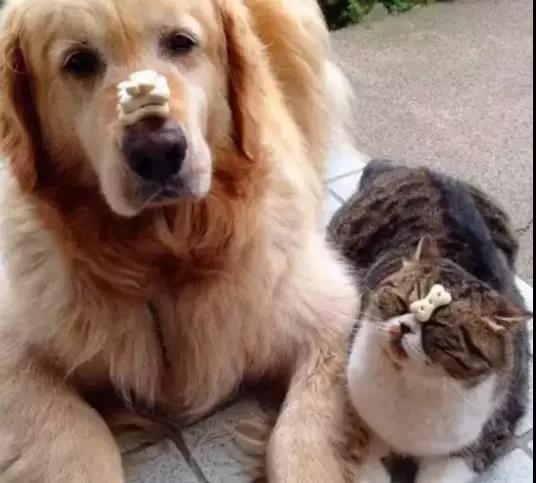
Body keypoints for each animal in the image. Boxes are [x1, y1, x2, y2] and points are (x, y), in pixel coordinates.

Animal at [0, 0, 358, 481]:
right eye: (78, 62)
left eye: (181, 43)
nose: (157, 153)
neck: (164, 254)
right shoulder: (14, 343)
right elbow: (80, 438)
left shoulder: (329, 313)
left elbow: (294, 441)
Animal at [328, 160, 531, 483]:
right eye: (401, 303)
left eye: (437, 327)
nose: (404, 326)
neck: (413, 386)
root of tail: (405, 167)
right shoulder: (357, 415)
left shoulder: (487, 433)